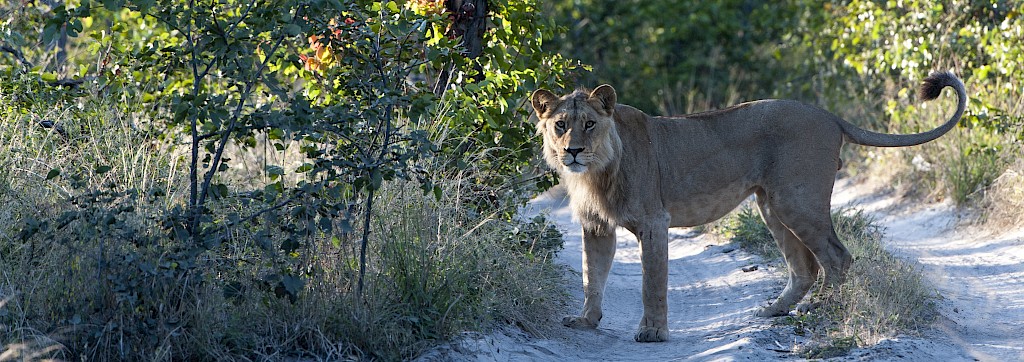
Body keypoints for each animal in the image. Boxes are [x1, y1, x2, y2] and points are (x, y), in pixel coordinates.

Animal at [532, 71, 962, 341]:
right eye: (560, 125)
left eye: (589, 124)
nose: (572, 151)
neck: (597, 171)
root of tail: (828, 115)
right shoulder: (596, 226)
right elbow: (592, 277)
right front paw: (585, 321)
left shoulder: (655, 221)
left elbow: (652, 283)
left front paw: (653, 331)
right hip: (771, 206)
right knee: (805, 267)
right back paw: (774, 311)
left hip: (797, 201)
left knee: (837, 258)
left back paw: (823, 310)